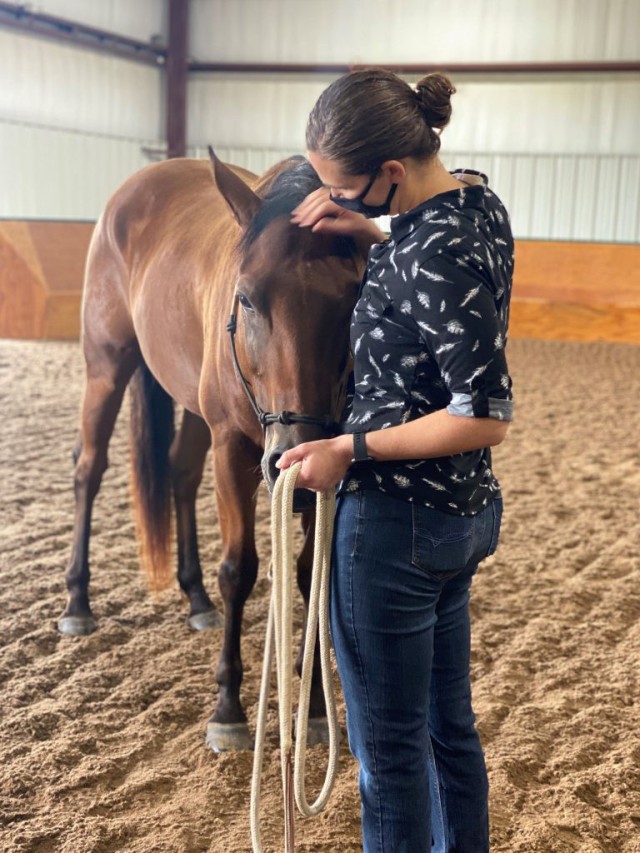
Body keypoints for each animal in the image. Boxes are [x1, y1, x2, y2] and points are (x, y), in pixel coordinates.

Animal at [60, 150, 370, 748]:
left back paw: (196, 597)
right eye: (246, 298)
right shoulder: (231, 449)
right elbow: (239, 569)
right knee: (89, 469)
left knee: (179, 473)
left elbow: (309, 573)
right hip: (106, 367)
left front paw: (316, 710)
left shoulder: (328, 468)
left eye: (354, 299)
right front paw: (227, 709)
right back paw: (77, 602)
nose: (291, 452)